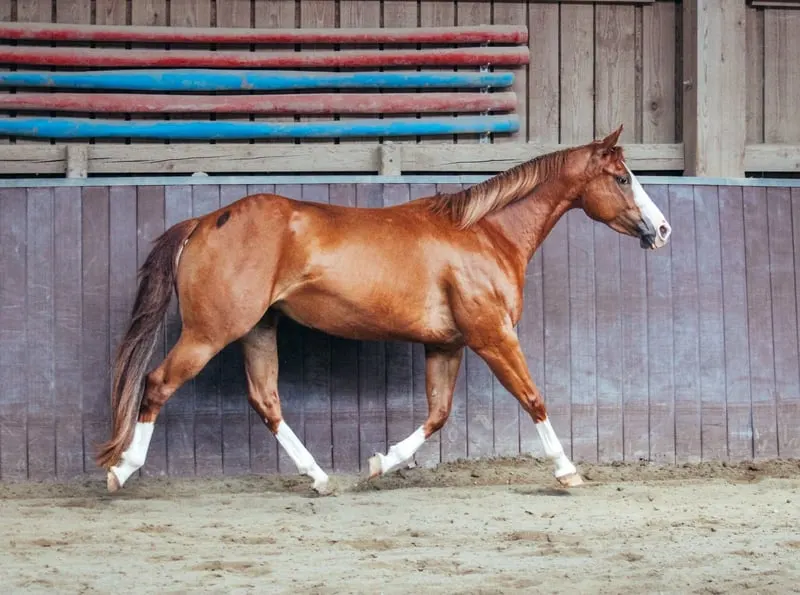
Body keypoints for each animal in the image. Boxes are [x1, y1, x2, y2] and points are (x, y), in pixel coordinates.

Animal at [96, 124, 671, 494]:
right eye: (623, 178)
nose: (662, 230)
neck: (484, 234)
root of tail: (203, 221)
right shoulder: (492, 336)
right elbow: (534, 399)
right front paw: (567, 470)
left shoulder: (447, 345)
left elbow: (436, 416)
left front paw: (377, 464)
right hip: (212, 330)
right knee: (156, 384)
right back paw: (120, 472)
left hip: (257, 330)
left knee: (266, 401)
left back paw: (321, 479)